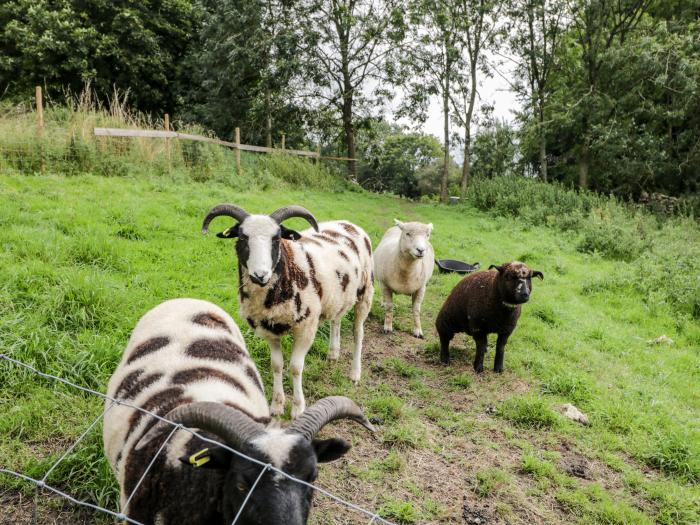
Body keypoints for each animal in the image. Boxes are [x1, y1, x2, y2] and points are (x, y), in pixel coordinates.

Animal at [201, 204, 374, 418]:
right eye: (242, 237)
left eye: (276, 238)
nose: (260, 275)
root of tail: (349, 224)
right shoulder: (269, 329)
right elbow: (277, 365)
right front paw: (276, 405)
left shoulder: (306, 328)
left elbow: (295, 367)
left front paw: (298, 408)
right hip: (339, 296)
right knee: (336, 320)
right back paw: (333, 354)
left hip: (365, 293)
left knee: (358, 333)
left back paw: (355, 374)